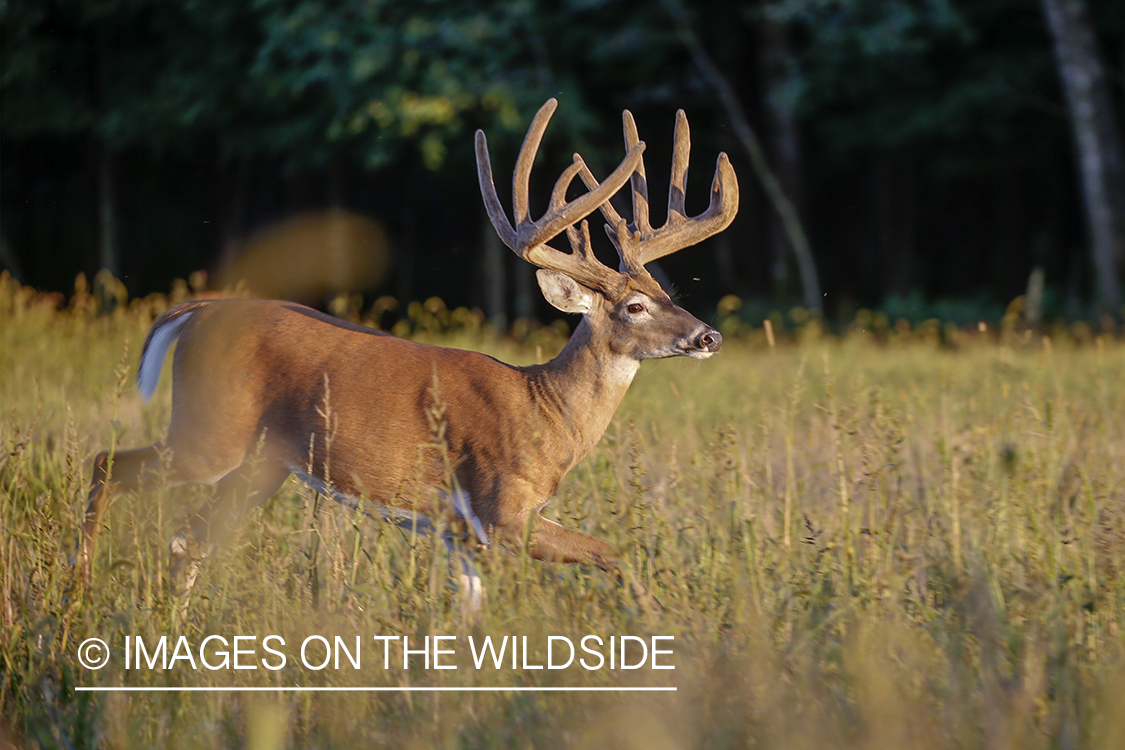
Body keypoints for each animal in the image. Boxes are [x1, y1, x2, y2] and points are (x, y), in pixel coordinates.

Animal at [83, 99, 742, 611]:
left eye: (669, 293)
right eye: (634, 306)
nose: (708, 337)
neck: (546, 411)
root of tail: (196, 313)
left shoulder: (460, 531)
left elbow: (470, 612)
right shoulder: (500, 511)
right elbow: (614, 552)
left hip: (262, 463)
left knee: (187, 541)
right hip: (210, 431)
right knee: (106, 465)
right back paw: (78, 586)